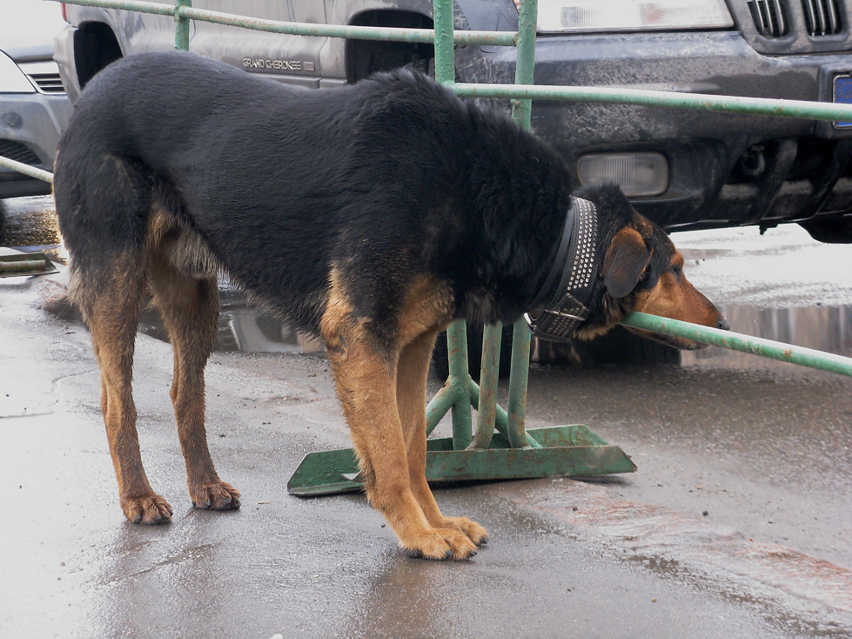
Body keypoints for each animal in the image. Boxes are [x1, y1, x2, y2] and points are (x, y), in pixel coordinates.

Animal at [53, 51, 724, 560]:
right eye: (676, 268)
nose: (722, 322)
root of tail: (93, 88)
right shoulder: (360, 336)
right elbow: (392, 457)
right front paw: (419, 535)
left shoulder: (410, 343)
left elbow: (410, 449)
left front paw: (435, 521)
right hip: (117, 281)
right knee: (117, 401)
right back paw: (138, 497)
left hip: (194, 299)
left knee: (183, 394)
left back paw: (205, 484)